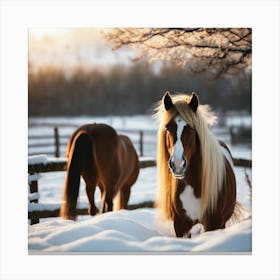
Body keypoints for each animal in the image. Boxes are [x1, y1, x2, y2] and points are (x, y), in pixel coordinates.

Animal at [155, 91, 238, 236]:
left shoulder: (213, 223)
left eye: (191, 129)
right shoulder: (180, 225)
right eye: (167, 127)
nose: (178, 164)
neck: (192, 185)